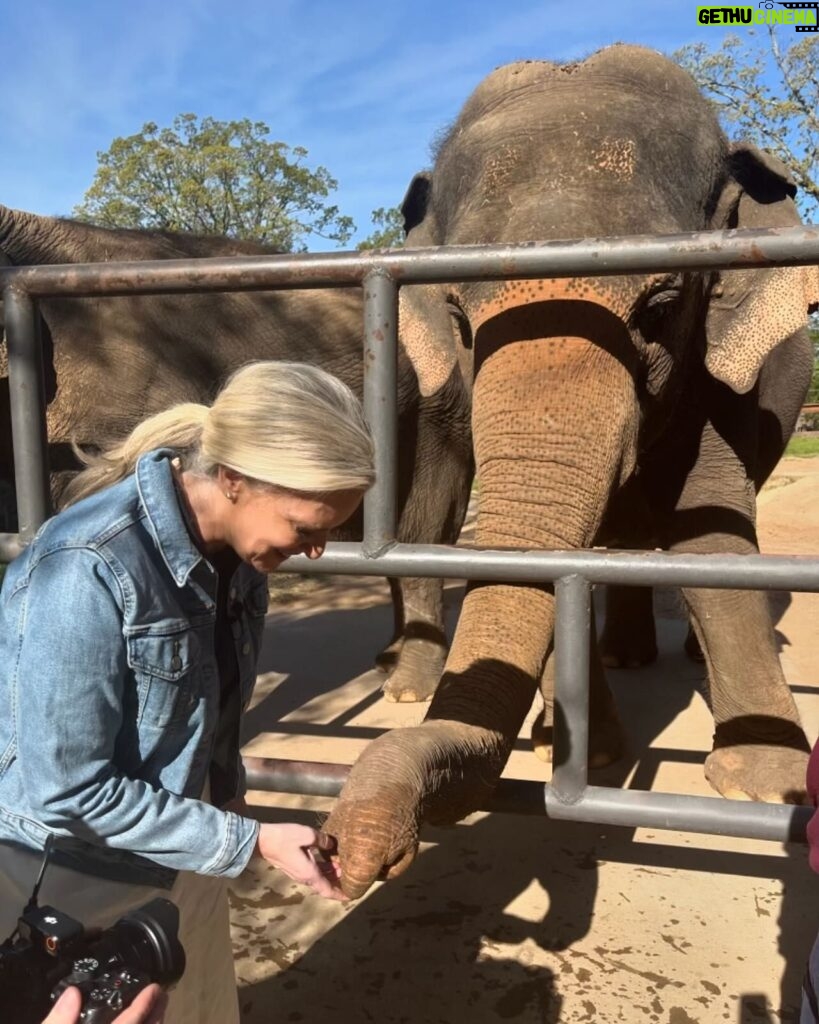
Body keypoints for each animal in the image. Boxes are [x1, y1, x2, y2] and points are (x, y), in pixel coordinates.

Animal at [325, 44, 818, 901]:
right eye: (456, 318)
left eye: (660, 308)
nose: (349, 853)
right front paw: (576, 744)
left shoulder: (719, 375)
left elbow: (707, 529)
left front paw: (764, 785)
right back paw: (610, 668)